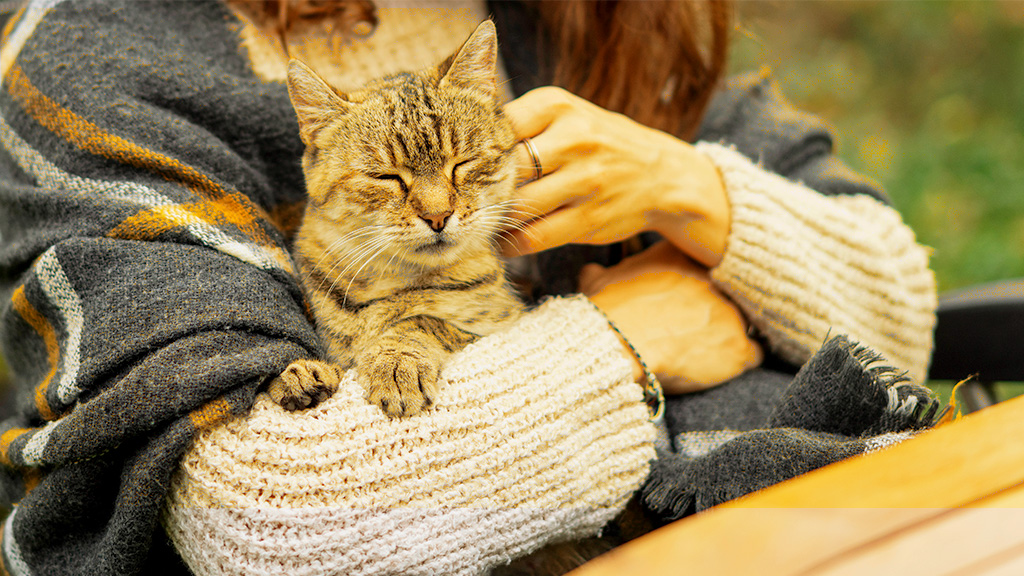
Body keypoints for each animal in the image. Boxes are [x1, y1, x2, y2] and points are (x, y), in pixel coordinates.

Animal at [268, 21, 524, 416]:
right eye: (385, 177)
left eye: (462, 163)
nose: (438, 215)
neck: (393, 281)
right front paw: (300, 374)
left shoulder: (504, 319)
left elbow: (422, 321)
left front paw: (397, 359)